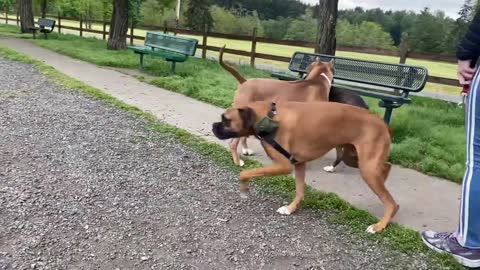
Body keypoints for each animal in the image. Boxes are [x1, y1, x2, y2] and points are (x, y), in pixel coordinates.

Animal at [212, 100, 400, 233]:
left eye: (226, 120)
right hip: (353, 158)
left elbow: (245, 173)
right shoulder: (299, 163)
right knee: (387, 166)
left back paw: (379, 226)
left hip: (366, 168)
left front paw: (244, 189)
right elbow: (300, 191)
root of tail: (384, 124)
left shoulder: (283, 165)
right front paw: (291, 209)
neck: (269, 117)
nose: (213, 126)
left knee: (392, 203)